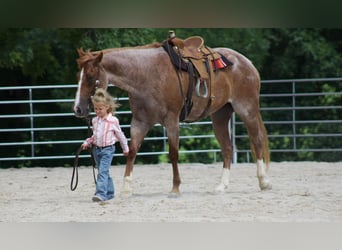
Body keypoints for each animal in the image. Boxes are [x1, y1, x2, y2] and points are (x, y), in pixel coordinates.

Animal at [73, 38, 272, 196]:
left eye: (90, 76)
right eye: (79, 76)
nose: (78, 109)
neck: (147, 74)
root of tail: (246, 62)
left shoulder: (172, 121)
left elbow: (174, 153)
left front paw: (175, 188)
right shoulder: (140, 122)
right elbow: (132, 151)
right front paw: (126, 188)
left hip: (247, 110)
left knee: (257, 141)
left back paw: (263, 181)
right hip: (220, 116)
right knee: (228, 148)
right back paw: (222, 186)